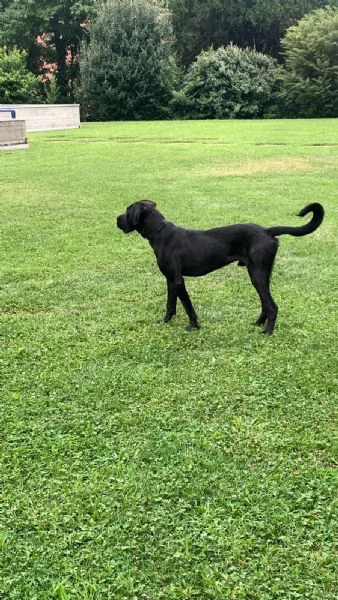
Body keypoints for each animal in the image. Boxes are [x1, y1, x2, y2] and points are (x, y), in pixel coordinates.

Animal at [117, 200, 324, 332]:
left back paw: (267, 331)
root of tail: (267, 231)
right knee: (266, 303)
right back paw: (258, 323)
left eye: (128, 211)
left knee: (272, 306)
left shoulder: (177, 281)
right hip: (263, 273)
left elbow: (188, 306)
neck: (160, 233)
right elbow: (170, 304)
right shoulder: (170, 280)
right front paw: (165, 321)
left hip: (256, 274)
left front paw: (193, 326)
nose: (116, 219)